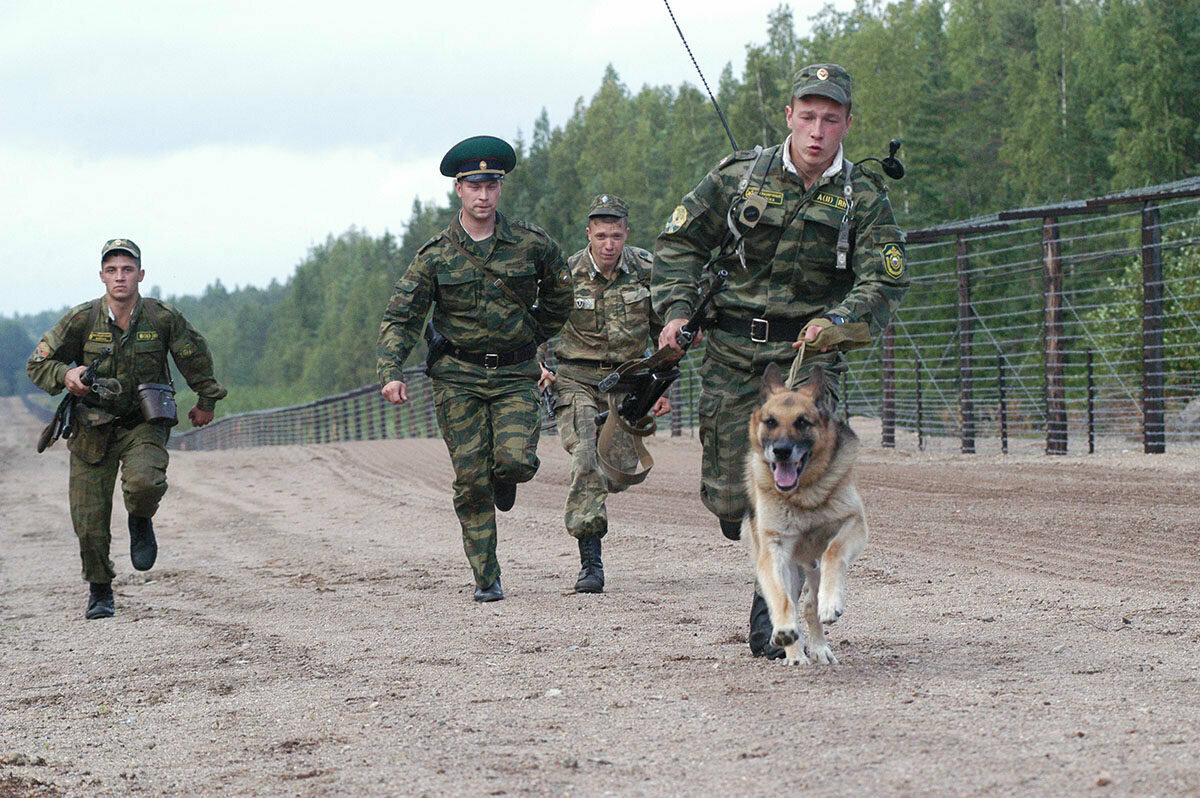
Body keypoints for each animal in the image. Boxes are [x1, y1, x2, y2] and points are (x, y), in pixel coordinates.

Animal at [739, 364, 864, 662]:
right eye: (771, 422)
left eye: (802, 422)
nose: (782, 451)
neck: (804, 495)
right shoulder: (773, 549)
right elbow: (781, 599)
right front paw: (786, 632)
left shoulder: (853, 523)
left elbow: (833, 552)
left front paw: (831, 604)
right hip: (789, 566)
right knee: (792, 602)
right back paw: (794, 652)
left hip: (811, 567)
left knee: (809, 604)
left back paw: (819, 646)